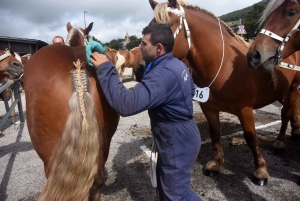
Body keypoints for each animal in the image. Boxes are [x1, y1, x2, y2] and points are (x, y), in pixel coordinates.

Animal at [148, 0, 300, 186]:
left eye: (168, 26)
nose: (142, 66)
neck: (223, 66)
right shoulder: (209, 108)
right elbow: (215, 133)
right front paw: (216, 163)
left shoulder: (245, 110)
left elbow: (252, 138)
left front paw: (260, 170)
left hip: (293, 87)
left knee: (286, 113)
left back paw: (280, 142)